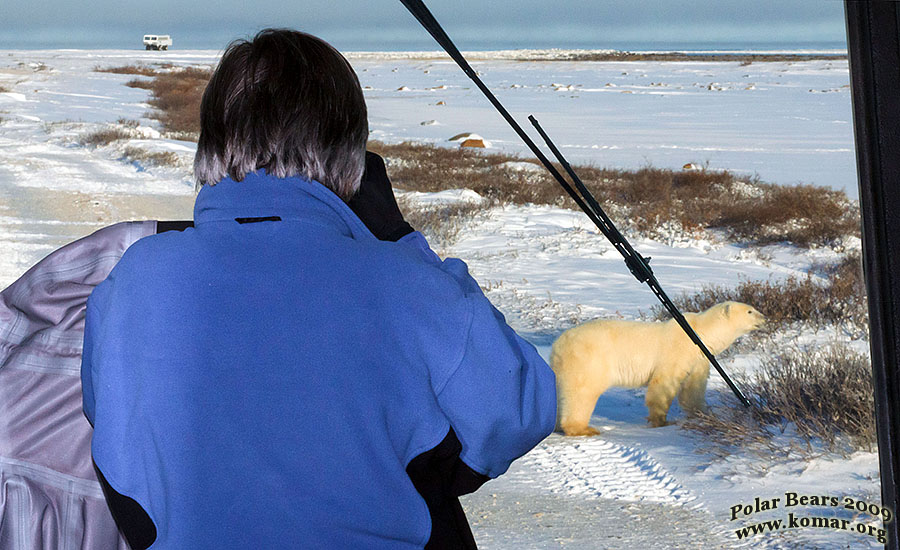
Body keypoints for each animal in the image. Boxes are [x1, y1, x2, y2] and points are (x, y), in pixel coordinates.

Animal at [552, 302, 764, 436]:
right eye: (750, 311)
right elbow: (664, 383)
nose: (764, 317)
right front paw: (662, 422)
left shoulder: (698, 359)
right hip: (589, 361)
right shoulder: (677, 351)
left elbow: (693, 389)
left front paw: (703, 413)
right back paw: (583, 429)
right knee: (582, 392)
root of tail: (559, 344)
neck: (699, 333)